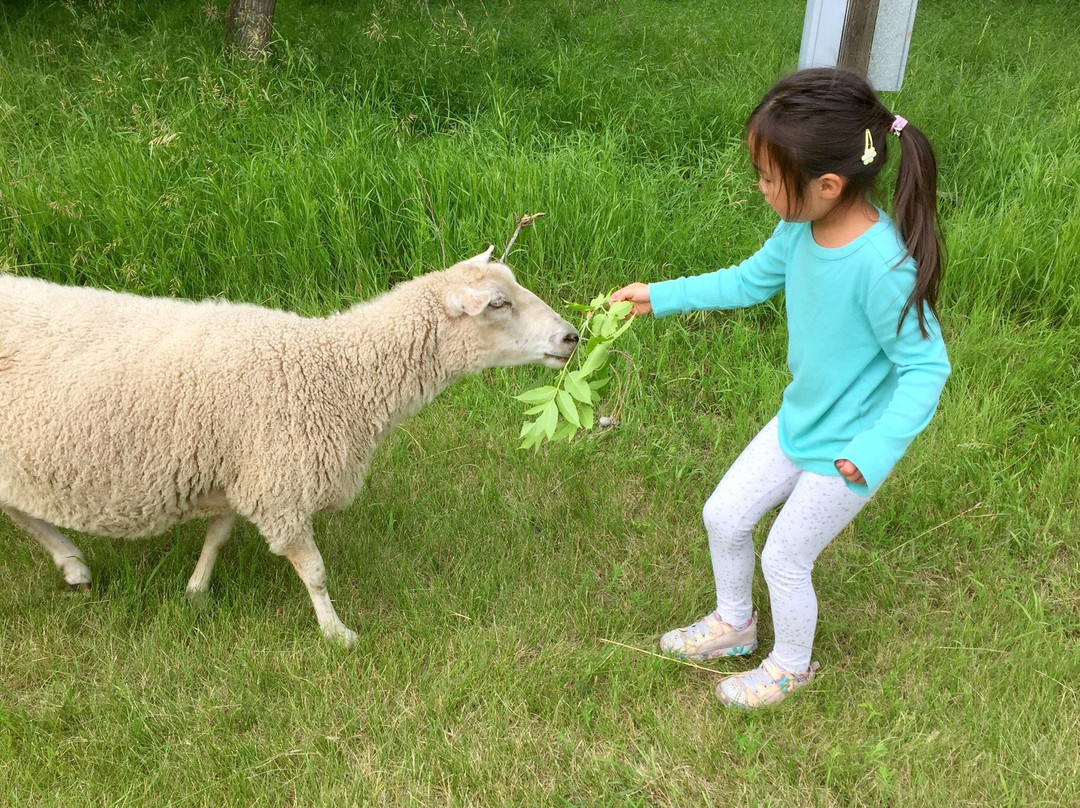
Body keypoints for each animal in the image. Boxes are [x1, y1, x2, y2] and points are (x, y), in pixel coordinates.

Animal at [0, 249, 579, 644]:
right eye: (499, 303)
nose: (572, 336)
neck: (333, 372)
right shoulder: (281, 483)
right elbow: (315, 572)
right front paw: (337, 634)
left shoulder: (246, 471)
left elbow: (219, 533)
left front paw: (196, 589)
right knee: (21, 512)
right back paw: (72, 563)